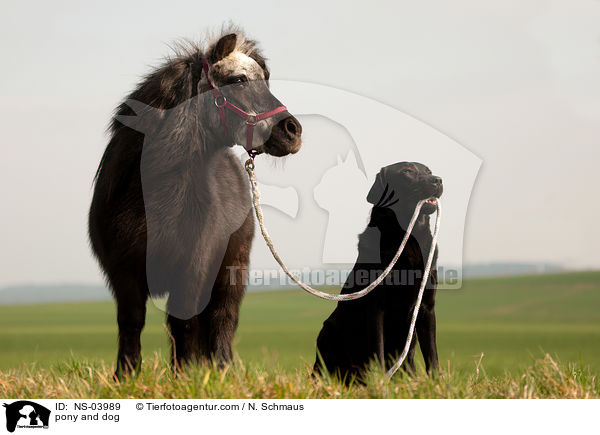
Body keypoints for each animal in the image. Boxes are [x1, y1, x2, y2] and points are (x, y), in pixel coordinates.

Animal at [88, 29, 304, 380]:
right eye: (239, 80)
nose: (293, 131)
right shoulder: (125, 272)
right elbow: (131, 322)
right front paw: (125, 376)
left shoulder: (192, 266)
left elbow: (184, 322)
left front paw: (186, 377)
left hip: (231, 271)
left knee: (222, 319)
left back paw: (224, 370)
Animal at [312, 162, 442, 384]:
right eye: (407, 171)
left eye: (428, 171)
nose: (438, 180)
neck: (407, 239)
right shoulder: (376, 308)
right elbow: (377, 350)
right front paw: (380, 383)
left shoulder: (426, 307)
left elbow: (432, 353)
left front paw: (438, 383)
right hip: (328, 331)